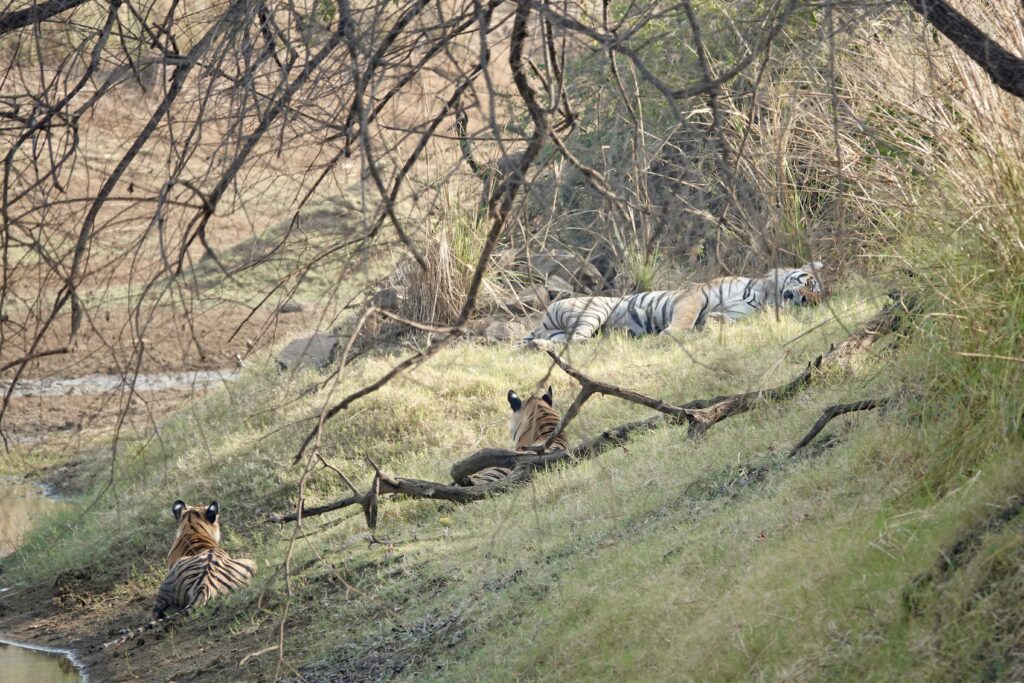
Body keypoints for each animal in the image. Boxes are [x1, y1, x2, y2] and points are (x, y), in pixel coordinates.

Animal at [524, 262, 823, 344]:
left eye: (814, 299)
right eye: (809, 284)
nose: (805, 299)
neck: (765, 295)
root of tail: (542, 322)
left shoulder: (736, 314)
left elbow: (719, 319)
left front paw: (710, 325)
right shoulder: (696, 295)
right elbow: (685, 319)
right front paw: (673, 334)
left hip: (564, 330)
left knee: (563, 342)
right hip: (593, 311)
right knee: (579, 340)